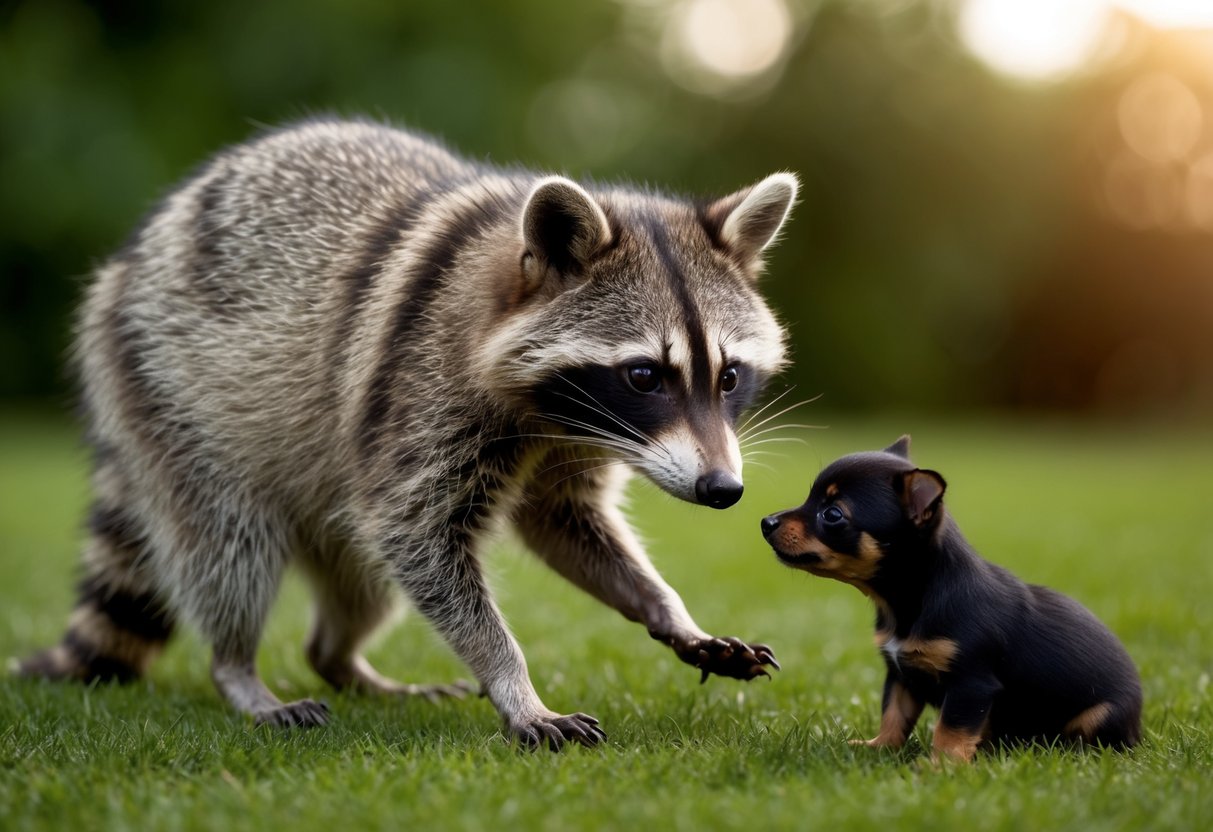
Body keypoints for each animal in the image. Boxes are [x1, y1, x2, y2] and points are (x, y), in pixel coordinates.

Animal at [19, 119, 797, 748]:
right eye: (644, 376)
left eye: (729, 376)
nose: (722, 489)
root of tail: (127, 267)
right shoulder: (419, 395)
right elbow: (417, 536)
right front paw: (514, 684)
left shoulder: (577, 438)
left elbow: (562, 521)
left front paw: (667, 610)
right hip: (167, 392)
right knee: (230, 546)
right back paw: (238, 669)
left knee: (360, 581)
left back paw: (342, 661)